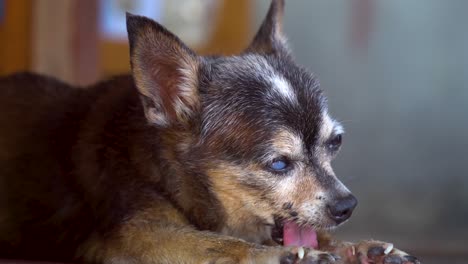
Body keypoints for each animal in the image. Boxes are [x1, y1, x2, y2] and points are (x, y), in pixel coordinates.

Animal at [0, 0, 420, 264]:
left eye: (335, 143)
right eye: (278, 164)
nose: (346, 206)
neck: (165, 173)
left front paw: (359, 247)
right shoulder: (131, 237)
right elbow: (213, 244)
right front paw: (282, 255)